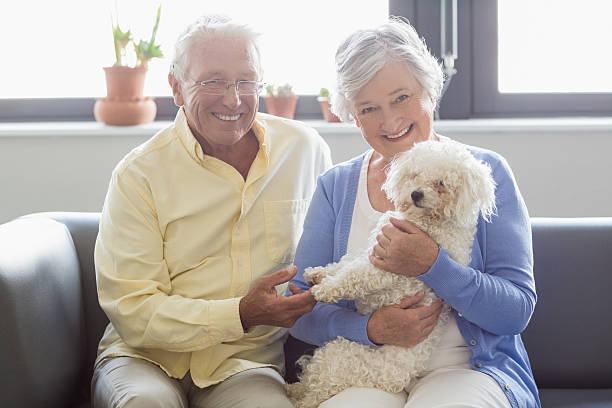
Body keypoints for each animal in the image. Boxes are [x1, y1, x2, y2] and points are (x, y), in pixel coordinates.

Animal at [286, 139, 498, 406]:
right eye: (415, 174)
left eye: (441, 184)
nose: (416, 193)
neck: (427, 220)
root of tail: (398, 380)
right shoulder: (374, 248)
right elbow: (346, 263)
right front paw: (318, 274)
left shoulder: (389, 266)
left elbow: (353, 275)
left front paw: (326, 289)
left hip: (339, 355)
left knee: (315, 391)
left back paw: (296, 394)